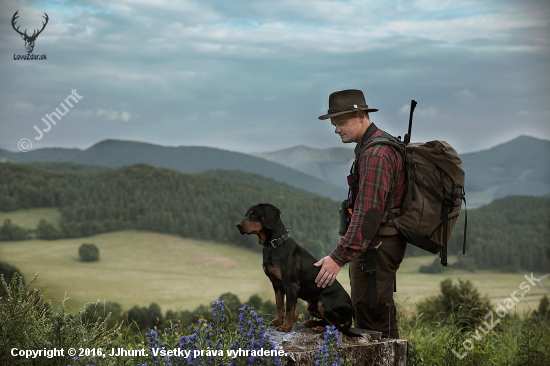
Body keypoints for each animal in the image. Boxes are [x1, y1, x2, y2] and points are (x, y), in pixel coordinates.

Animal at [235, 203, 360, 338]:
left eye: (255, 214)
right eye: (246, 214)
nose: (238, 226)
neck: (274, 246)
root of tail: (351, 313)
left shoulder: (291, 285)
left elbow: (290, 309)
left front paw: (286, 327)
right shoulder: (277, 285)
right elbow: (280, 305)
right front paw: (278, 321)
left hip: (323, 303)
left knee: (337, 327)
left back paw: (320, 329)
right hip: (310, 306)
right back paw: (312, 323)